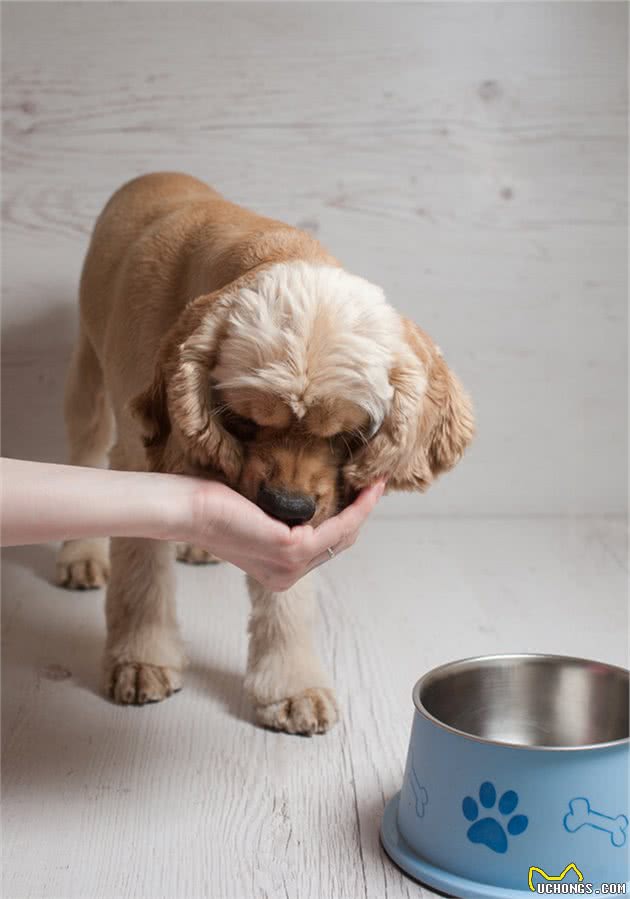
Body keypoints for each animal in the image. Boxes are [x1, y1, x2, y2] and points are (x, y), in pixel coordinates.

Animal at [58, 174, 474, 740]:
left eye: (349, 434)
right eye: (244, 419)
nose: (288, 509)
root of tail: (155, 174)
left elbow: (287, 598)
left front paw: (292, 688)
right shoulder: (139, 458)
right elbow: (142, 573)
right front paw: (140, 660)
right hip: (89, 371)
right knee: (85, 444)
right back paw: (80, 555)